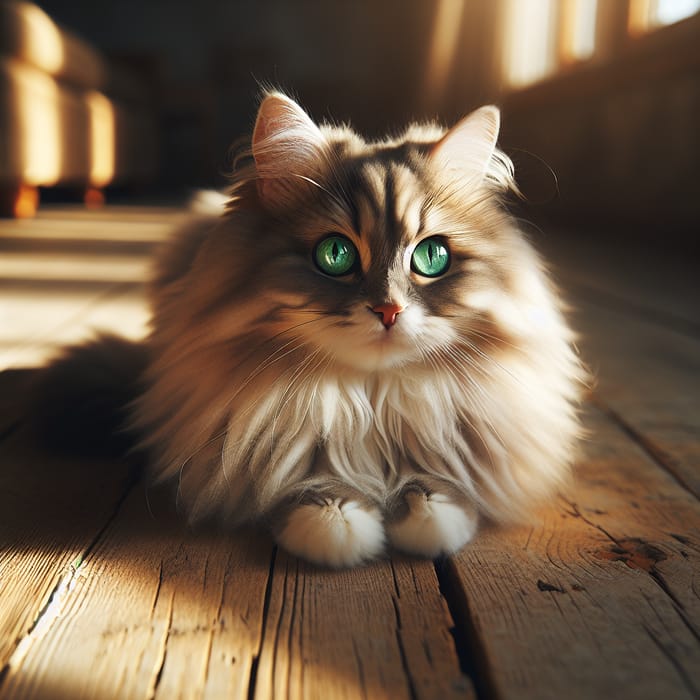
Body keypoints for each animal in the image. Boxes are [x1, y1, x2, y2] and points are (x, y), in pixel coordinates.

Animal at [31, 91, 584, 568]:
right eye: (335, 254)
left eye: (432, 257)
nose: (388, 310)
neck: (370, 403)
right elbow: (307, 481)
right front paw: (336, 525)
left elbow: (440, 481)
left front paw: (431, 514)